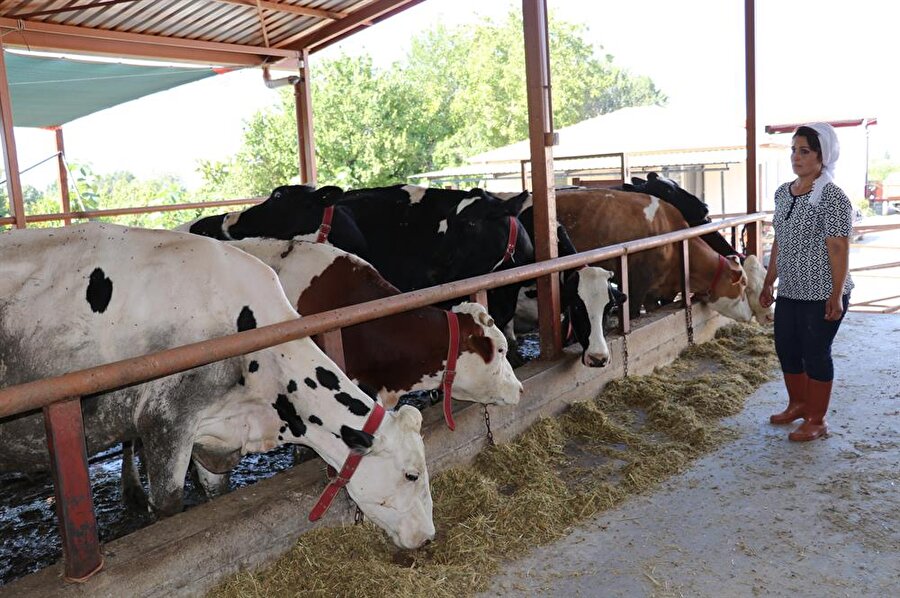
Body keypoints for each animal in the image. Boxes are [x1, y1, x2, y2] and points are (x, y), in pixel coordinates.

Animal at [0, 224, 432, 548]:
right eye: (411, 475)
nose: (428, 536)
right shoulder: (165, 422)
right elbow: (169, 505)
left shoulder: (216, 436)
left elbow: (216, 491)